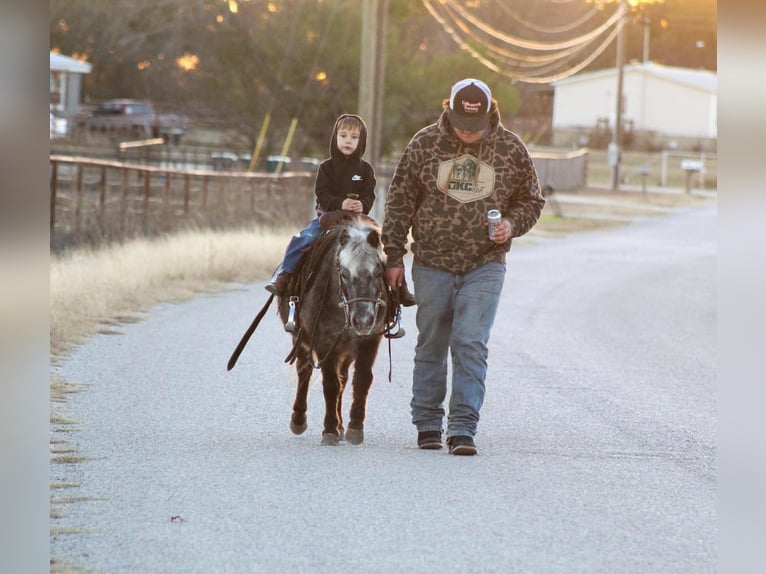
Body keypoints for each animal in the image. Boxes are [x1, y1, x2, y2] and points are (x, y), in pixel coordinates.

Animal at [278, 216, 392, 446]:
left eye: (378, 272)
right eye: (345, 274)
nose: (363, 320)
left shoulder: (370, 340)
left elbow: (362, 379)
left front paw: (354, 427)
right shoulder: (324, 341)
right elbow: (330, 383)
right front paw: (330, 429)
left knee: (344, 377)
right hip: (301, 338)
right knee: (304, 370)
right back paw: (299, 420)